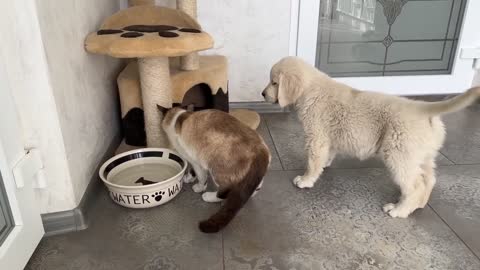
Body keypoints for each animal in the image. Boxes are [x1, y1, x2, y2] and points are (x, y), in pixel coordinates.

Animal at [262, 56, 480, 217]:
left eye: (274, 82)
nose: (263, 94)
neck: (310, 89)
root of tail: (423, 109)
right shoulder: (329, 136)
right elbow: (327, 154)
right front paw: (325, 164)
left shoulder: (317, 135)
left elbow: (313, 160)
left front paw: (306, 179)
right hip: (422, 155)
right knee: (429, 179)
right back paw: (418, 204)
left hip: (399, 154)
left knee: (415, 185)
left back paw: (399, 210)